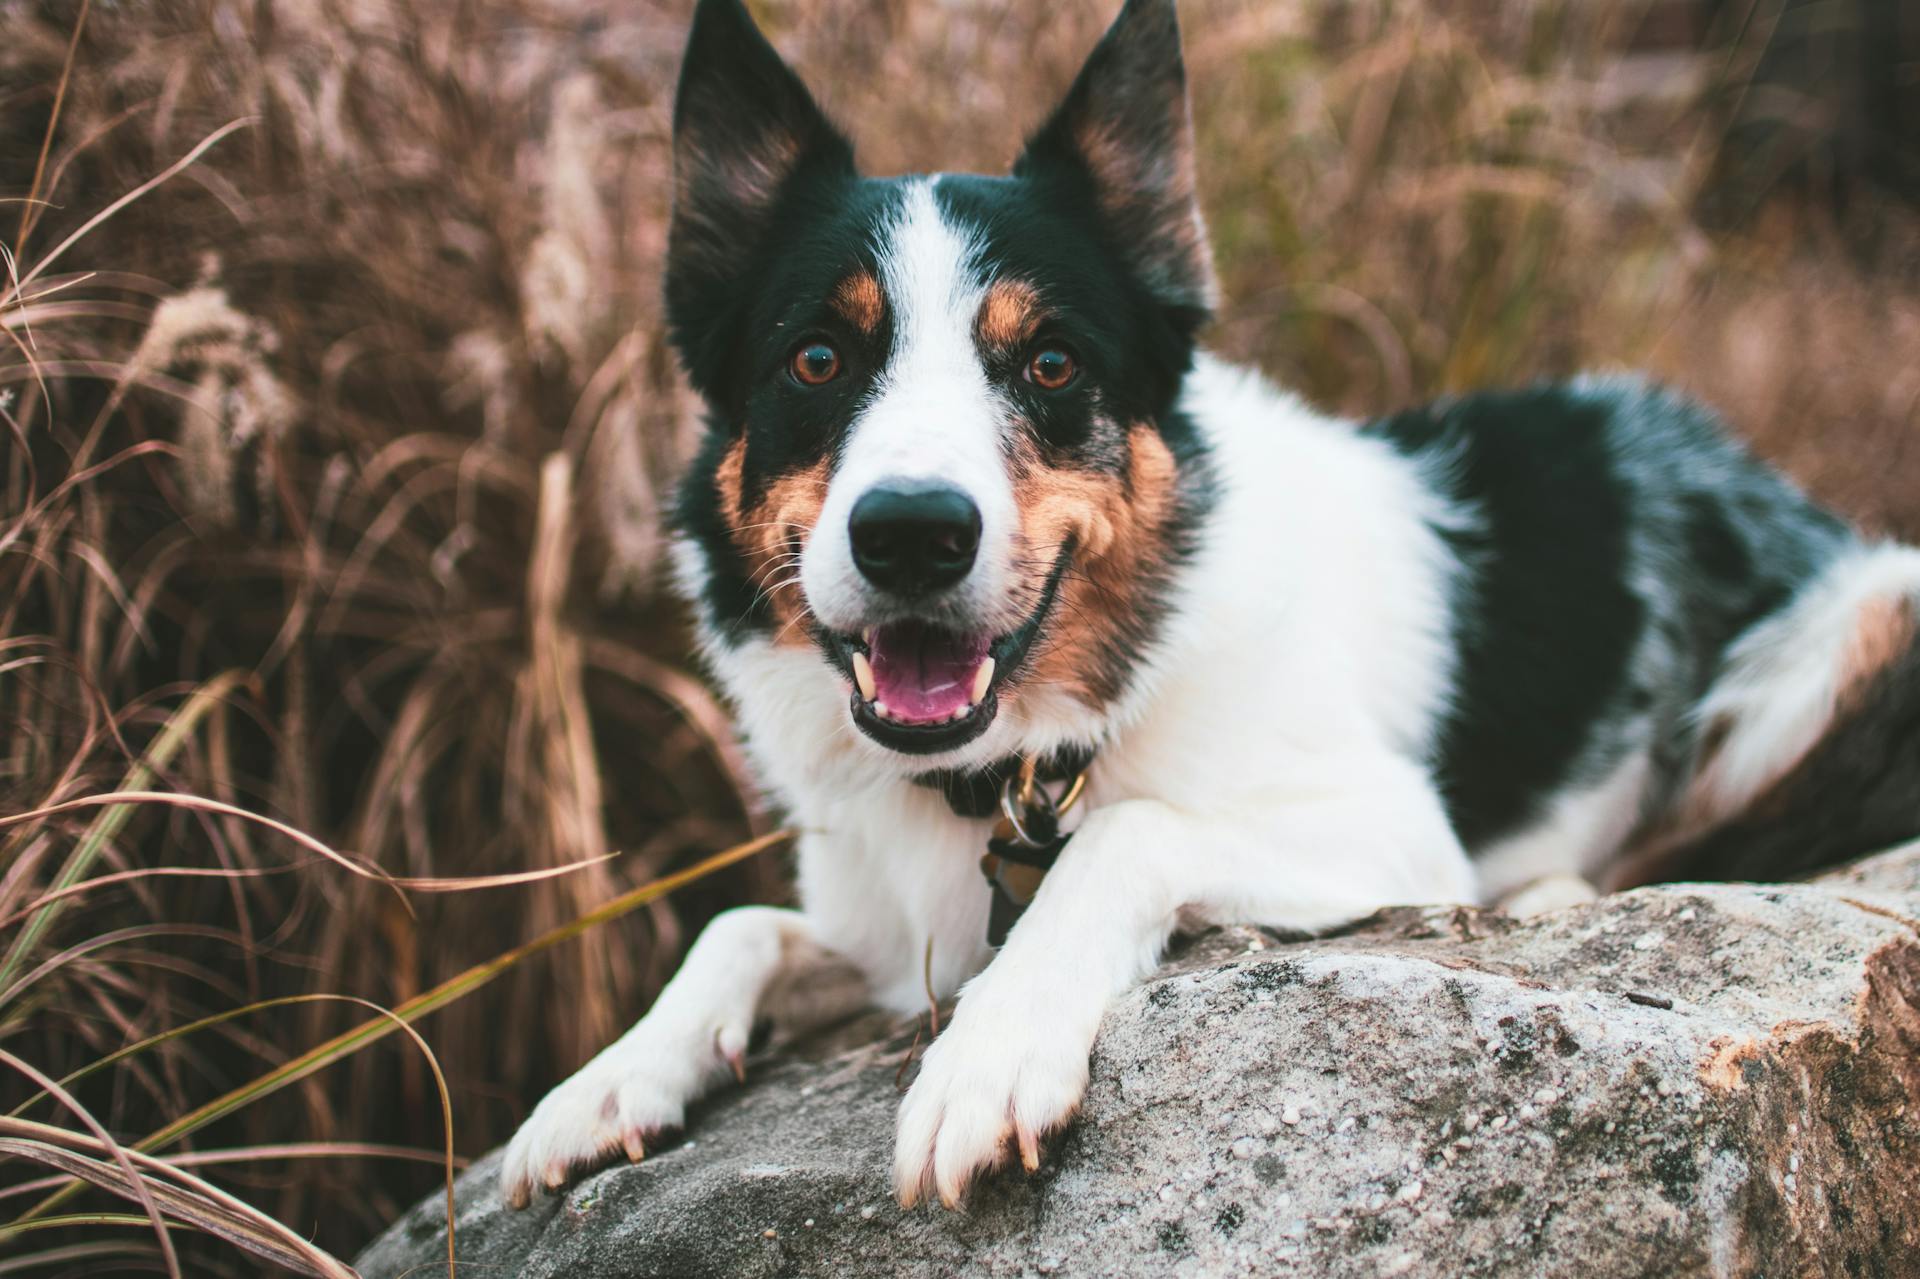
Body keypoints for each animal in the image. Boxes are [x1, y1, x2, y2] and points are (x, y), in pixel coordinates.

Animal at [506, 0, 1920, 1213]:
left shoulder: (1389, 825)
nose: (911, 533)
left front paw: (993, 1046)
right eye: (816, 358)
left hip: (1862, 622)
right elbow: (737, 922)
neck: (1012, 763)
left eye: (1050, 363)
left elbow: (1132, 834)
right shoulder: (880, 925)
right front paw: (607, 1079)